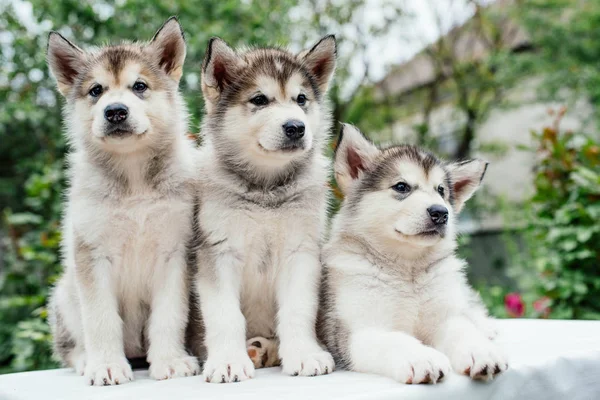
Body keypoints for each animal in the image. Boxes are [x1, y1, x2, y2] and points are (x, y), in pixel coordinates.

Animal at [47, 18, 200, 384]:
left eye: (139, 86)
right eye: (96, 91)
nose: (115, 111)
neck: (134, 182)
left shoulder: (174, 254)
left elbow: (168, 316)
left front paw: (170, 360)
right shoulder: (91, 254)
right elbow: (100, 319)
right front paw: (106, 366)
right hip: (64, 292)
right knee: (70, 348)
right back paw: (87, 360)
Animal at [191, 35, 338, 382]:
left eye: (301, 99)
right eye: (259, 100)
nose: (296, 127)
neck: (266, 191)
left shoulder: (301, 252)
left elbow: (298, 309)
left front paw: (305, 354)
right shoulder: (218, 252)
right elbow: (224, 314)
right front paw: (228, 361)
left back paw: (264, 348)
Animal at [316, 124, 508, 384]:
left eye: (441, 191)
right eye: (401, 187)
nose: (441, 213)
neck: (407, 270)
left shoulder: (445, 317)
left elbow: (462, 329)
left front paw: (480, 351)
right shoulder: (360, 329)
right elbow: (396, 340)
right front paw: (423, 358)